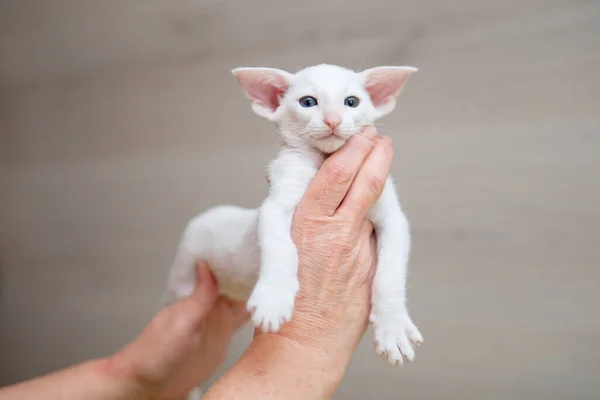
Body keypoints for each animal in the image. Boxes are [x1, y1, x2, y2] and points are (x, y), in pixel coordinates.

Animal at [164, 64, 424, 370]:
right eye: (308, 102)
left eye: (352, 101)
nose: (333, 121)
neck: (324, 160)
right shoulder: (275, 206)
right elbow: (281, 249)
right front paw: (274, 298)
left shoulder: (392, 219)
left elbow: (390, 275)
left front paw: (392, 326)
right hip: (184, 279)